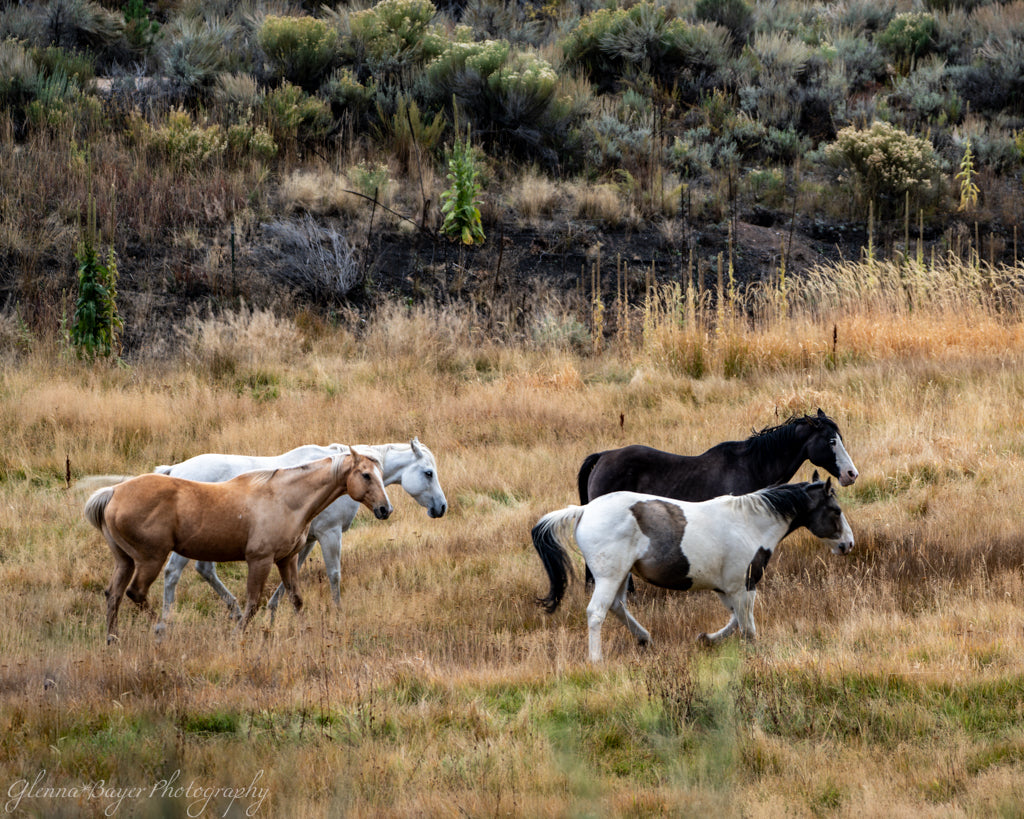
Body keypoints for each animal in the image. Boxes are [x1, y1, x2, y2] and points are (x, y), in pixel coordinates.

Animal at [84, 449, 393, 643]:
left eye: (380, 474)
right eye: (366, 475)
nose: (385, 509)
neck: (285, 497)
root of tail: (113, 492)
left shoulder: (287, 559)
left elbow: (296, 599)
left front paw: (306, 632)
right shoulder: (260, 560)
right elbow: (253, 604)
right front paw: (237, 635)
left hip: (124, 561)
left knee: (114, 594)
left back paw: (112, 638)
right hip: (151, 559)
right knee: (136, 592)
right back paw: (161, 630)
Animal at [156, 439, 447, 628]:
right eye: (428, 473)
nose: (442, 507)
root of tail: (175, 470)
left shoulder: (305, 541)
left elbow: (290, 580)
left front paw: (272, 612)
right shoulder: (330, 534)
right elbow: (334, 575)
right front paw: (338, 613)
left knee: (204, 570)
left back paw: (236, 613)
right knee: (172, 574)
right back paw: (165, 624)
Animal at [532, 474, 854, 662]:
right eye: (836, 510)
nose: (848, 544)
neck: (749, 524)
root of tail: (584, 510)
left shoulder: (726, 588)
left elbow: (735, 619)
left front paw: (706, 638)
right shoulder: (744, 585)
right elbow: (747, 626)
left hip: (621, 576)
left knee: (616, 607)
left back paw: (644, 638)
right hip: (610, 577)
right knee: (596, 612)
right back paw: (597, 660)